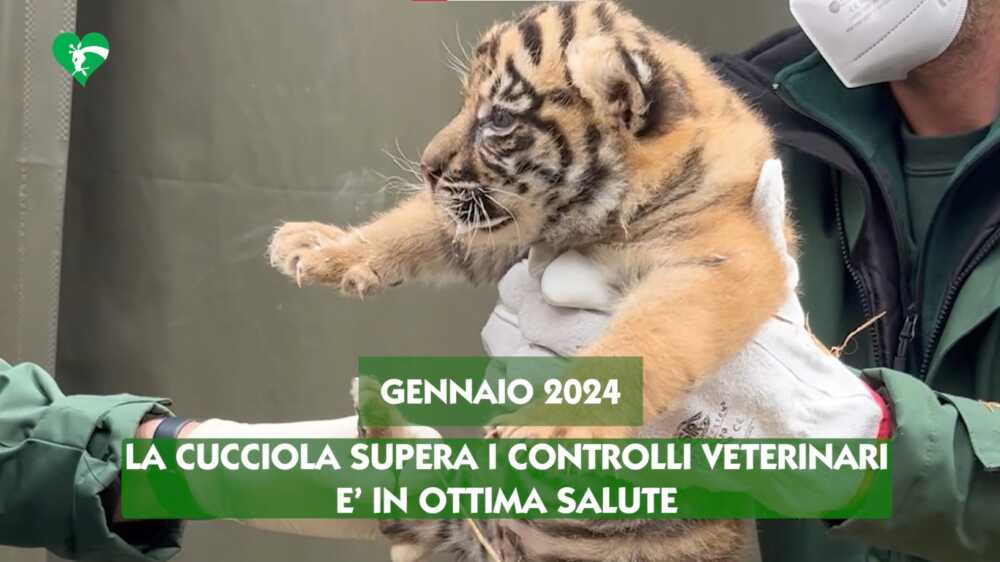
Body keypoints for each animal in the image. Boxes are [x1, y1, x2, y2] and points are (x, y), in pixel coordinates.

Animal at [268, 1, 788, 561]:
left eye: (498, 118)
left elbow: (646, 335)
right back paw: (371, 403)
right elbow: (417, 225)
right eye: (464, 102)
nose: (427, 168)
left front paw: (548, 427)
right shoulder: (499, 229)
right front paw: (319, 248)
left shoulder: (722, 261)